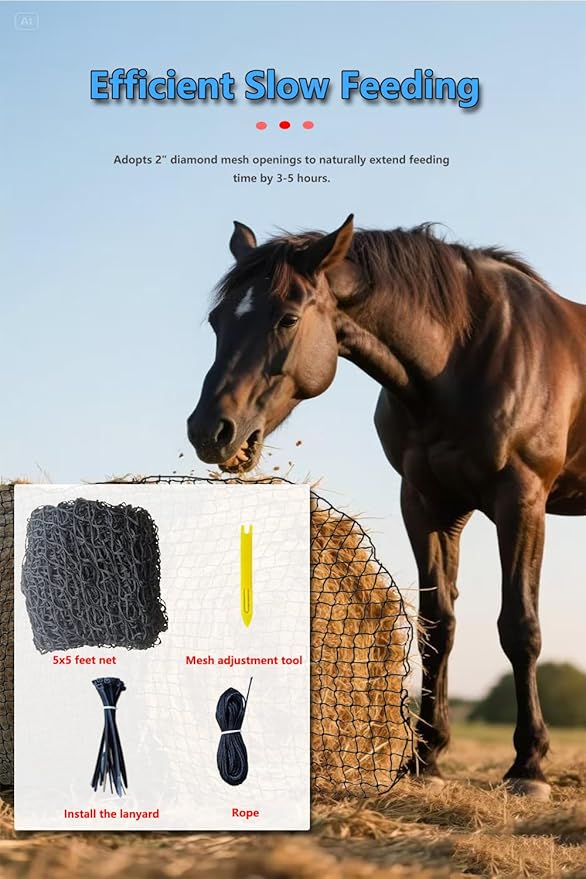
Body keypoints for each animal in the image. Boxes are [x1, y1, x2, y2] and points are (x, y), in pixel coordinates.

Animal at [187, 215, 586, 798]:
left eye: (287, 318)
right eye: (218, 320)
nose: (208, 431)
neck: (464, 355)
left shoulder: (522, 498)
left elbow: (520, 626)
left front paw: (528, 766)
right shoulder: (427, 505)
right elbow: (438, 626)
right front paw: (426, 759)